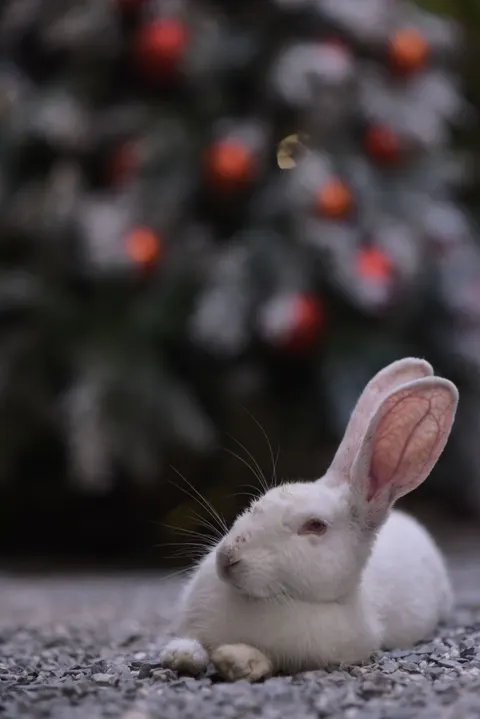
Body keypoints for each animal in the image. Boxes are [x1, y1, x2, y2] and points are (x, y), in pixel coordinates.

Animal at [159, 358, 458, 682]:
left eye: (315, 526)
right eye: (257, 503)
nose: (227, 558)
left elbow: (269, 658)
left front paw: (236, 659)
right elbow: (193, 641)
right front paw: (180, 654)